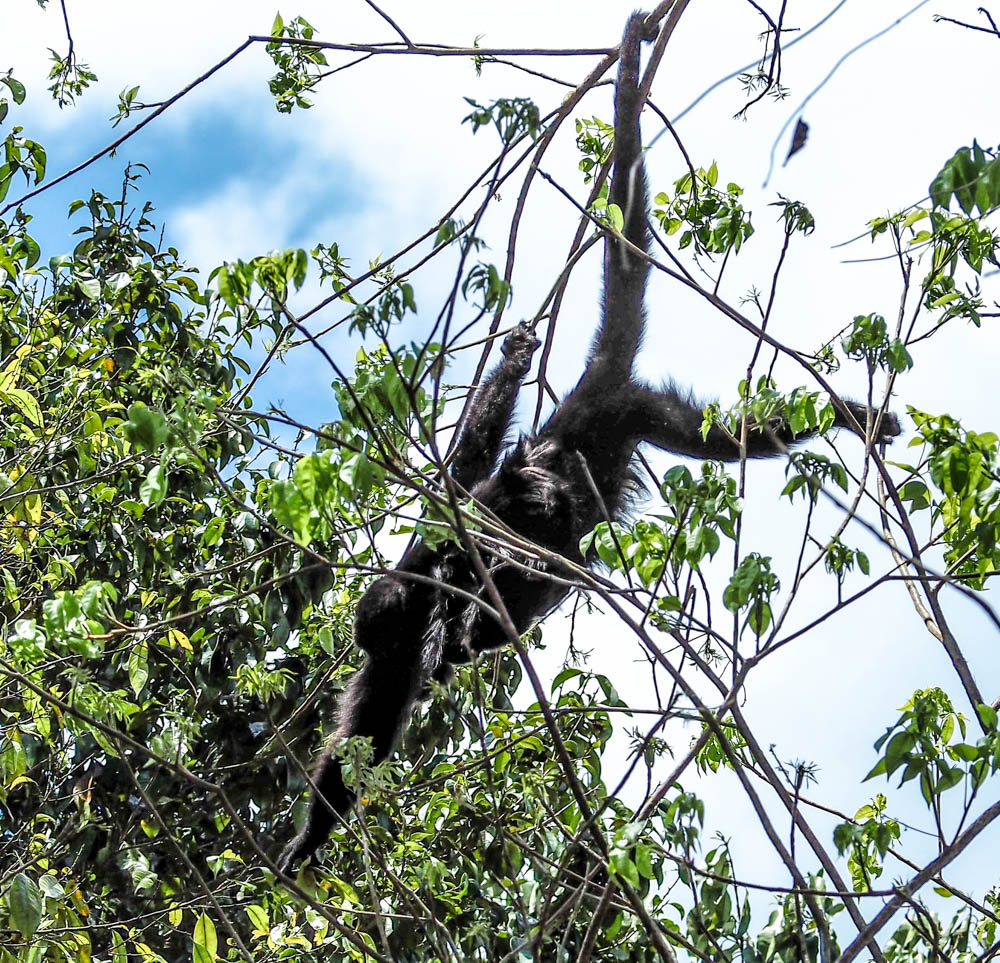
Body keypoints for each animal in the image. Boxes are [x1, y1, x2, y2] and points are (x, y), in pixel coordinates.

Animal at [278, 13, 904, 872]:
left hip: (617, 417)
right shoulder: (389, 662)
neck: (421, 592)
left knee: (586, 490)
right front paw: (308, 839)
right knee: (729, 443)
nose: (405, 637)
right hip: (643, 416)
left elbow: (466, 476)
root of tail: (594, 389)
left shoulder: (428, 558)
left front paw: (512, 375)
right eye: (381, 637)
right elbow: (359, 747)